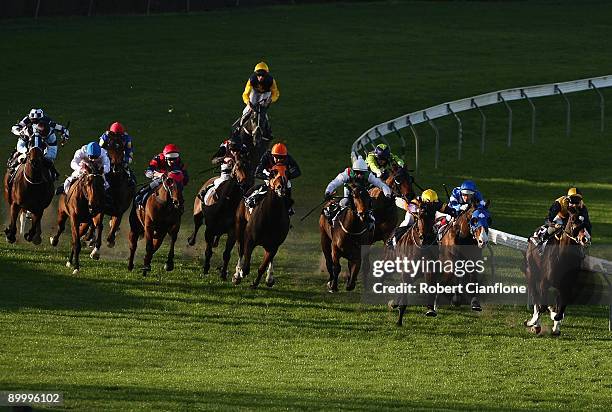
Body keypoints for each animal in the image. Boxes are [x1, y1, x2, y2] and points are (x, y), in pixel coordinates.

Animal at [388, 198, 440, 326]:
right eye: (420, 216)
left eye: (433, 216)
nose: (425, 238)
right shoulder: (407, 270)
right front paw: (399, 320)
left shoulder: (429, 268)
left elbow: (431, 284)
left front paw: (431, 310)